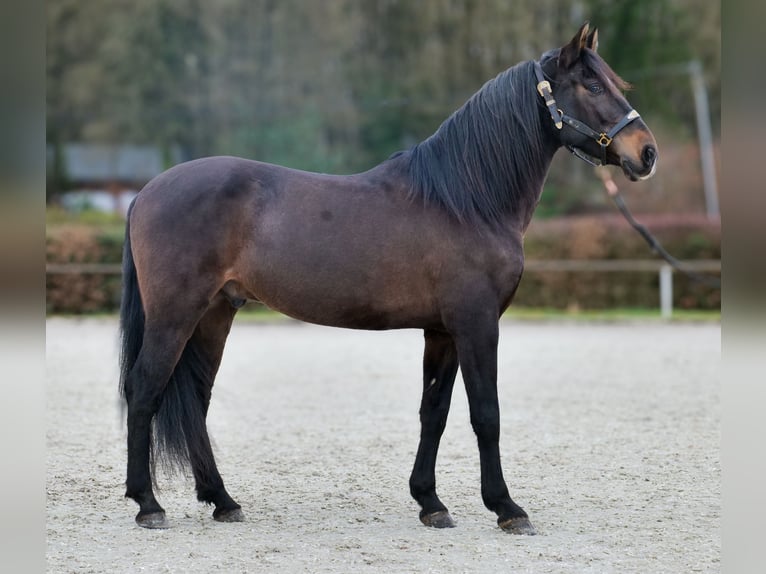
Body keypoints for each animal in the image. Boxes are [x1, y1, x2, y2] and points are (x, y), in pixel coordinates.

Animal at [119, 23, 657, 533]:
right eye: (592, 84)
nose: (647, 153)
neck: (466, 200)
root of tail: (146, 191)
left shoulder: (442, 330)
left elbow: (434, 412)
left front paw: (431, 503)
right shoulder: (477, 323)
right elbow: (486, 414)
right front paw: (506, 508)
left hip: (215, 314)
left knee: (196, 400)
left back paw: (222, 501)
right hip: (175, 313)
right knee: (144, 389)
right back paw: (148, 505)